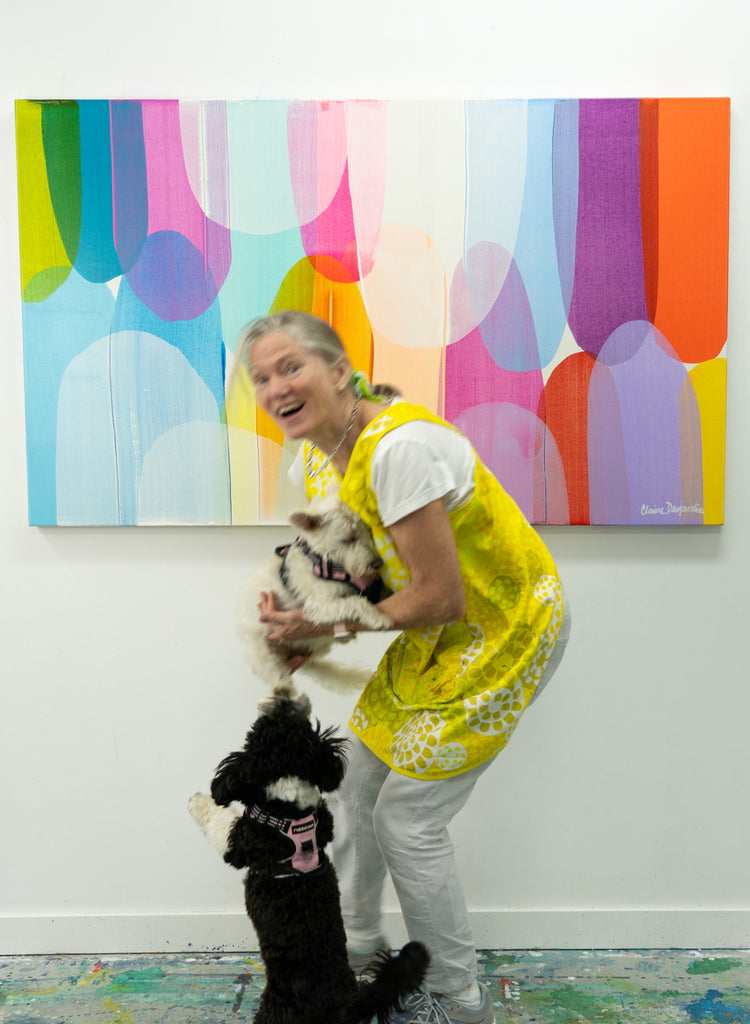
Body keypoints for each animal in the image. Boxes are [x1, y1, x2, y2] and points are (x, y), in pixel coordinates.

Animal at [190, 688, 428, 1024]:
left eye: (264, 724)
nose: (283, 696)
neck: (288, 806)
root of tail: (342, 1003)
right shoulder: (325, 822)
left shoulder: (243, 840)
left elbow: (220, 821)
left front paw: (198, 800)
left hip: (277, 1011)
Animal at [238, 497, 393, 696]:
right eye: (348, 539)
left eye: (368, 532)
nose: (377, 564)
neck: (327, 563)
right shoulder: (318, 605)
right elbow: (355, 602)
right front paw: (378, 617)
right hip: (261, 647)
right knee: (274, 671)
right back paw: (283, 687)